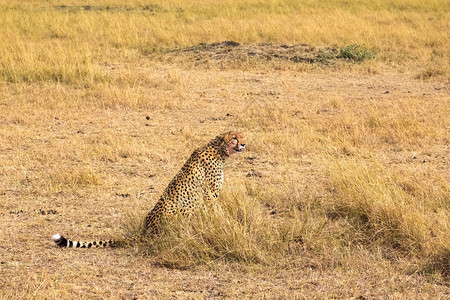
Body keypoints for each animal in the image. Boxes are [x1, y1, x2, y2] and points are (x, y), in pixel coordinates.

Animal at [52, 130, 246, 247]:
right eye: (234, 138)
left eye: (242, 136)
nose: (243, 144)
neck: (219, 149)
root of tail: (145, 231)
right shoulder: (210, 195)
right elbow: (215, 212)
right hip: (179, 212)